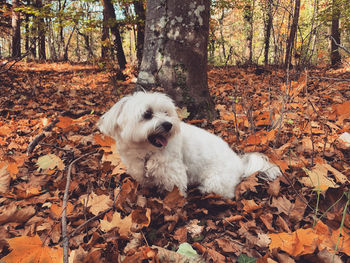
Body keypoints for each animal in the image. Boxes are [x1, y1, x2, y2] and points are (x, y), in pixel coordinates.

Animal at [98, 92, 282, 199]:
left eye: (166, 113)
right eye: (147, 114)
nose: (168, 125)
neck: (147, 152)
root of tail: (239, 163)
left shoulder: (173, 174)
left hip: (215, 182)